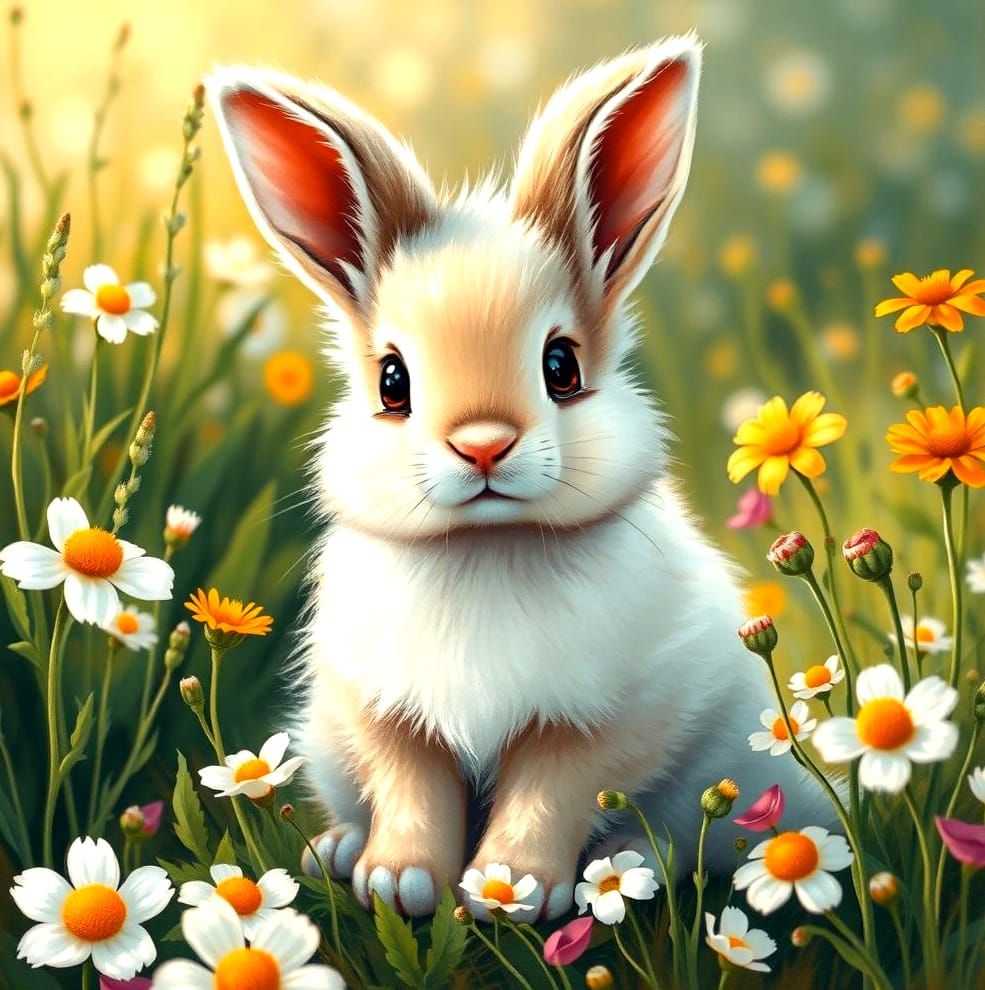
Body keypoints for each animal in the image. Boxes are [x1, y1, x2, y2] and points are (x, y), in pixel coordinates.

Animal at [206, 32, 834, 921]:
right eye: (392, 382)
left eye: (560, 365)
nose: (482, 446)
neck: (487, 545)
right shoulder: (385, 710)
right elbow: (412, 784)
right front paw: (399, 881)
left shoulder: (603, 715)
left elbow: (552, 792)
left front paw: (513, 888)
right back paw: (335, 851)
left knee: (687, 840)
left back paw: (623, 866)